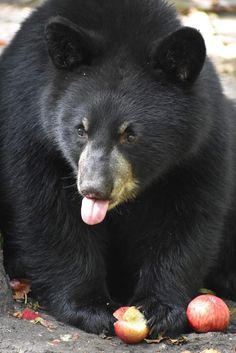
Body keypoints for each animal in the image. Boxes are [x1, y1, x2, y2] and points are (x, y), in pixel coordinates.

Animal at [0, 0, 236, 336]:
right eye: (80, 129)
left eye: (131, 134)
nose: (93, 189)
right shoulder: (30, 129)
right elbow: (49, 215)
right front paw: (92, 307)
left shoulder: (199, 148)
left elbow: (187, 219)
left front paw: (161, 308)